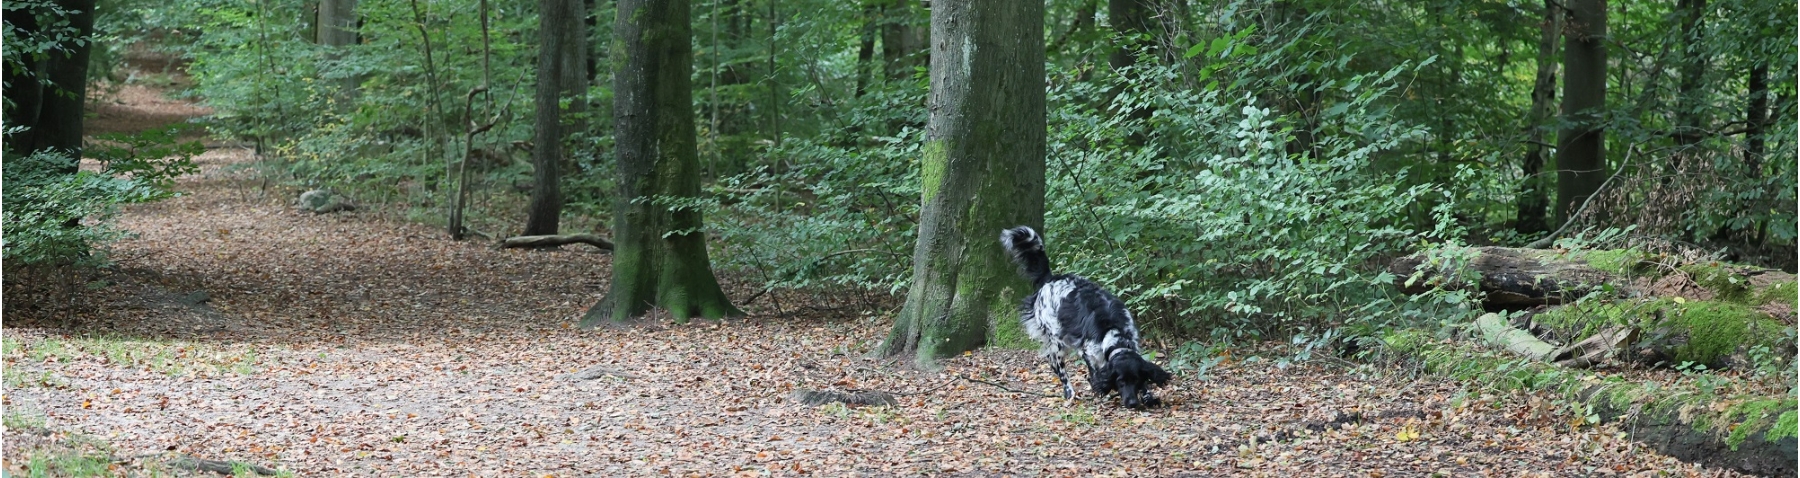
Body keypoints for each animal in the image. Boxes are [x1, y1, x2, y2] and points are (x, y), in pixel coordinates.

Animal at [993, 226, 1173, 407]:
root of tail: (1051, 279)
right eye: (1120, 381)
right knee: (1058, 367)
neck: (1113, 330)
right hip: (1057, 342)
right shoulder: (1087, 352)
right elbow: (1094, 373)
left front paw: (1148, 397)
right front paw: (1099, 391)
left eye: (1135, 380)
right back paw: (1069, 393)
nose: (1132, 403)